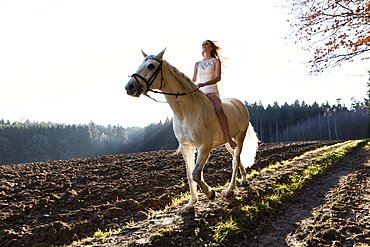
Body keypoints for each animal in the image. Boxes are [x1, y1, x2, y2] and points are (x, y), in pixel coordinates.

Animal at [125, 49, 258, 212]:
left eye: (151, 66)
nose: (129, 87)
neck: (186, 112)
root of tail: (239, 103)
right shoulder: (186, 147)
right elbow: (189, 175)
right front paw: (191, 204)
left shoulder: (204, 147)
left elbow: (196, 174)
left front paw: (210, 193)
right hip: (228, 142)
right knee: (236, 159)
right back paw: (243, 180)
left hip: (240, 136)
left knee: (235, 161)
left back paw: (230, 190)